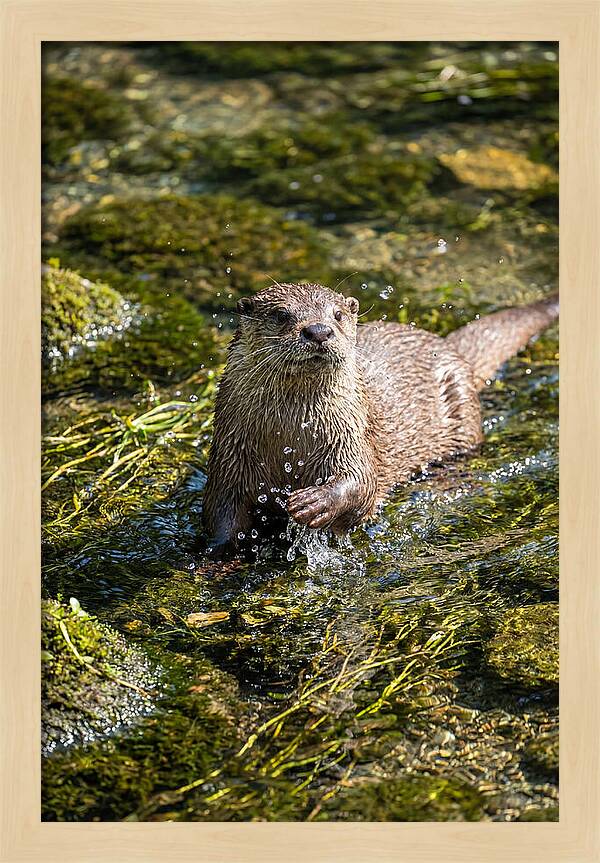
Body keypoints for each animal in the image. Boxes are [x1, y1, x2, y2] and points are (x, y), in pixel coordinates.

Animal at [202, 283, 558, 553]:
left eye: (337, 314)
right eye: (280, 315)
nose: (318, 330)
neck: (290, 439)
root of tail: (448, 347)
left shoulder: (352, 436)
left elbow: (362, 482)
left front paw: (314, 502)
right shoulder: (229, 458)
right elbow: (221, 514)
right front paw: (217, 556)